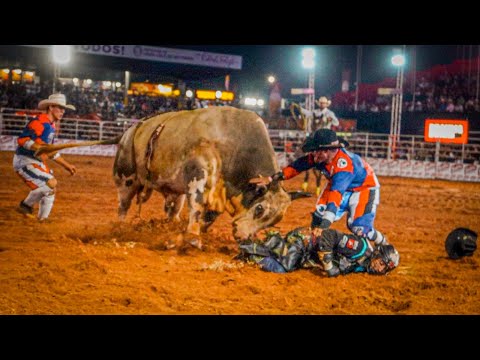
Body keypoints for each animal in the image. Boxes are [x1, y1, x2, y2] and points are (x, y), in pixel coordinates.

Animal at [113, 106, 308, 245]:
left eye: (273, 222)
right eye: (259, 209)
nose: (243, 237)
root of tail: (132, 129)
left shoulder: (219, 194)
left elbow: (209, 216)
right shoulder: (197, 176)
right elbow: (197, 205)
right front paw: (192, 236)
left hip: (174, 190)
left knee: (174, 209)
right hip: (126, 176)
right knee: (124, 204)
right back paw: (120, 227)